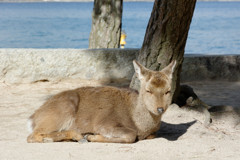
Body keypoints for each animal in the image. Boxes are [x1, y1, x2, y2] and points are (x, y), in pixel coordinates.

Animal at [26, 60, 176, 144]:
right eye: (148, 90)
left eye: (168, 91)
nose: (160, 109)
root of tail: (32, 117)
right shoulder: (104, 123)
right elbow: (130, 135)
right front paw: (92, 137)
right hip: (62, 110)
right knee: (32, 136)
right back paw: (79, 136)